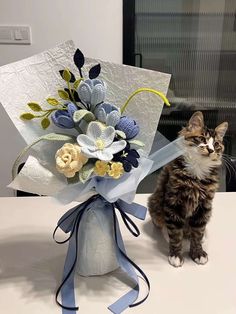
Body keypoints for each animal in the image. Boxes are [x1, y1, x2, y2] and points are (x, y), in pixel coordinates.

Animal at [148, 111, 228, 266]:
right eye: (202, 138)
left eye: (216, 144)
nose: (210, 150)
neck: (197, 171)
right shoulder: (173, 203)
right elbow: (175, 234)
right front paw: (175, 254)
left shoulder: (204, 206)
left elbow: (198, 232)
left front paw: (198, 252)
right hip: (155, 202)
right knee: (161, 223)